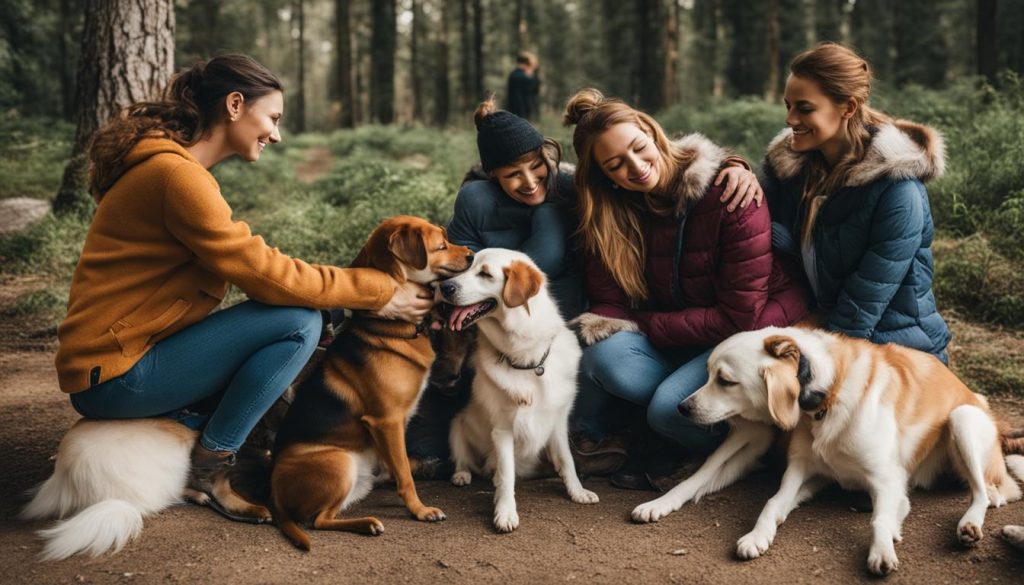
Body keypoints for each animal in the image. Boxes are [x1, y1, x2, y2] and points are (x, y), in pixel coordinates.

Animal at [264, 215, 471, 549]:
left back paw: (368, 521)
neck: (391, 327)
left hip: (354, 482)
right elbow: (404, 475)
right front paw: (420, 510)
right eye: (441, 245)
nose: (472, 255)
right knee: (317, 521)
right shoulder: (386, 421)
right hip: (338, 464)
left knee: (327, 516)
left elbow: (398, 465)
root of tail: (275, 497)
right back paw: (369, 523)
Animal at [436, 249, 598, 532]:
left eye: (485, 273)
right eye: (468, 266)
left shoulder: (558, 420)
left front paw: (578, 491)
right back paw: (462, 474)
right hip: (457, 424)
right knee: (464, 459)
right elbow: (507, 474)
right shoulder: (503, 429)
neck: (528, 360)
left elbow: (567, 461)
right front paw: (505, 512)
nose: (444, 286)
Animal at [630, 327, 1024, 577]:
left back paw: (969, 525)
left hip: (963, 419)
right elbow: (770, 502)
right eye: (709, 374)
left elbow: (879, 518)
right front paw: (756, 536)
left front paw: (882, 548)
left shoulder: (886, 478)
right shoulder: (801, 469)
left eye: (725, 381)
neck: (824, 397)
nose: (682, 407)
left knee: (990, 494)